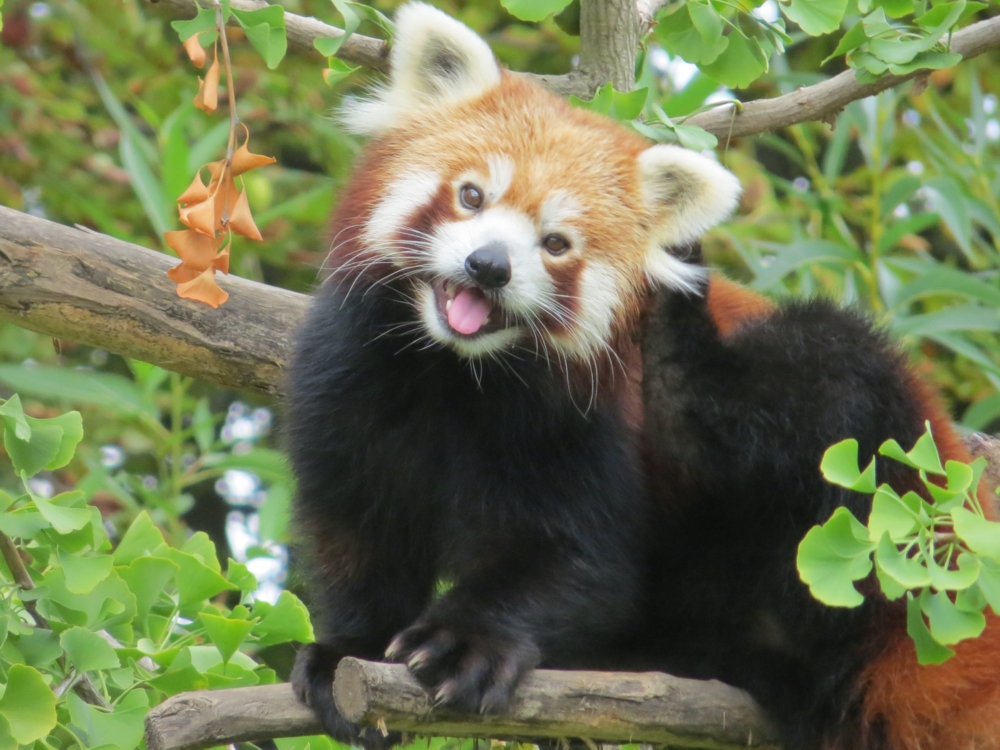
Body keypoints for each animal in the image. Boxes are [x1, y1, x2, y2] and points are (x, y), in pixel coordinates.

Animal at [284, 2, 1000, 748]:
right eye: (471, 195)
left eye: (557, 243)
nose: (489, 266)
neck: (457, 372)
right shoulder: (350, 377)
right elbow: (356, 525)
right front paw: (350, 649)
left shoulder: (587, 417)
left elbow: (579, 560)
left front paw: (465, 641)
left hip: (879, 488)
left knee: (818, 374)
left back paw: (679, 347)